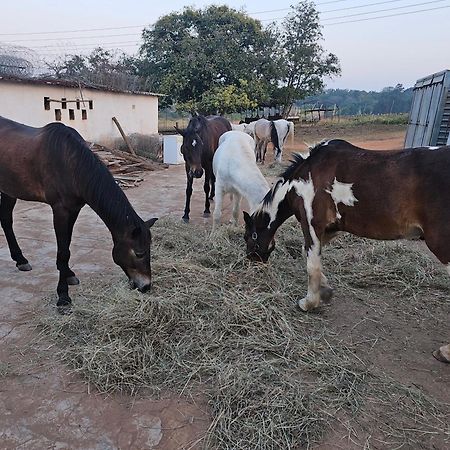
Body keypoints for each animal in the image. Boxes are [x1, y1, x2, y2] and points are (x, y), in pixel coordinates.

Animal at [0, 115, 158, 310]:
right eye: (139, 253)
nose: (146, 286)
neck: (70, 163)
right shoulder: (60, 210)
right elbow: (62, 252)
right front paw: (63, 296)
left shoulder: (74, 209)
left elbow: (66, 246)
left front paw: (68, 274)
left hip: (9, 190)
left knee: (6, 220)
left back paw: (20, 260)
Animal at [244, 139, 450, 364]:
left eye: (247, 237)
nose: (251, 261)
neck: (303, 177)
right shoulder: (329, 230)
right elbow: (310, 256)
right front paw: (325, 291)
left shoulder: (312, 225)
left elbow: (312, 265)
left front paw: (309, 302)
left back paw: (445, 351)